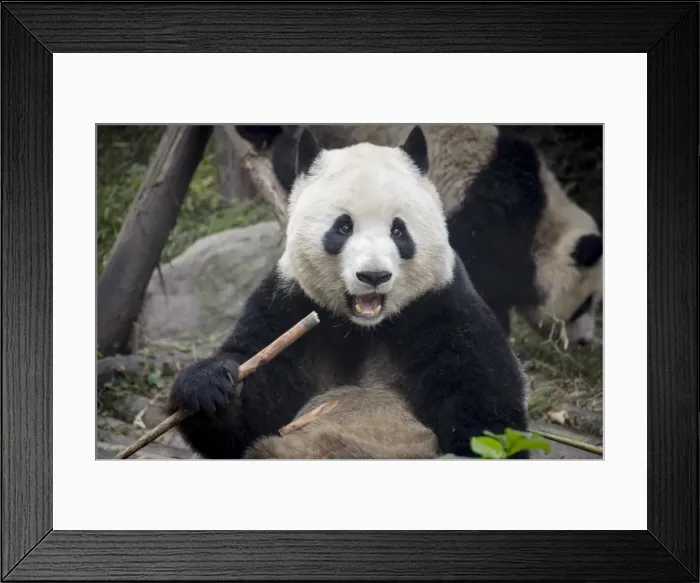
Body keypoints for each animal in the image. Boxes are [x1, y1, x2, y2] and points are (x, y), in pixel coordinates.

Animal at [168, 126, 530, 460]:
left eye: (399, 230)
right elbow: (247, 418)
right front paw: (211, 386)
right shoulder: (288, 305)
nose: (373, 275)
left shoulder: (443, 308)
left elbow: (486, 413)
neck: (364, 330)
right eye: (343, 227)